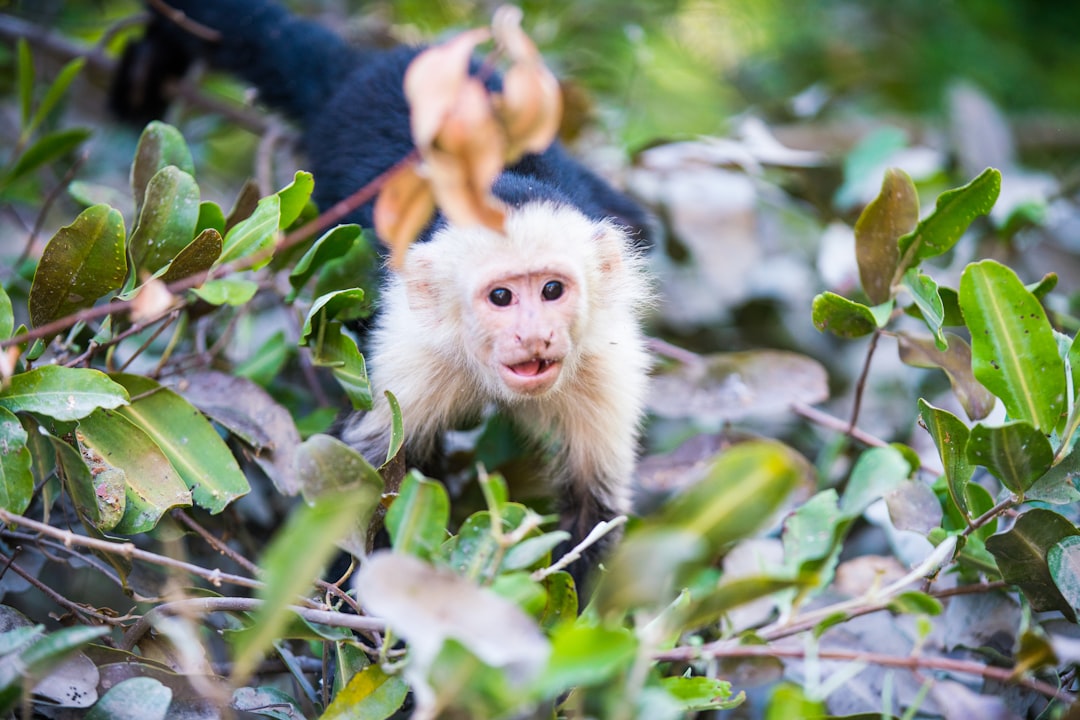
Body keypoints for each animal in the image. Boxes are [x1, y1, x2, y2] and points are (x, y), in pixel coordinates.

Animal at [111, 0, 648, 595]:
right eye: (502, 297)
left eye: (552, 290)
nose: (535, 335)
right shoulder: (409, 357)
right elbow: (358, 487)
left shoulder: (604, 361)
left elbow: (593, 511)